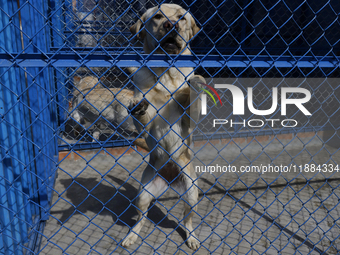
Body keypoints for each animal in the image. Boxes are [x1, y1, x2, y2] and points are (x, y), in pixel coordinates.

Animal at [121, 2, 203, 250]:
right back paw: (132, 235)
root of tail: (169, 177)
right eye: (157, 16)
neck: (166, 74)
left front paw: (195, 85)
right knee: (141, 217)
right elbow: (141, 110)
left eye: (181, 18)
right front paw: (137, 105)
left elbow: (191, 95)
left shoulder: (189, 120)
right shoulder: (146, 123)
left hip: (192, 194)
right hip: (143, 194)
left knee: (187, 220)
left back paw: (192, 237)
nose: (171, 25)